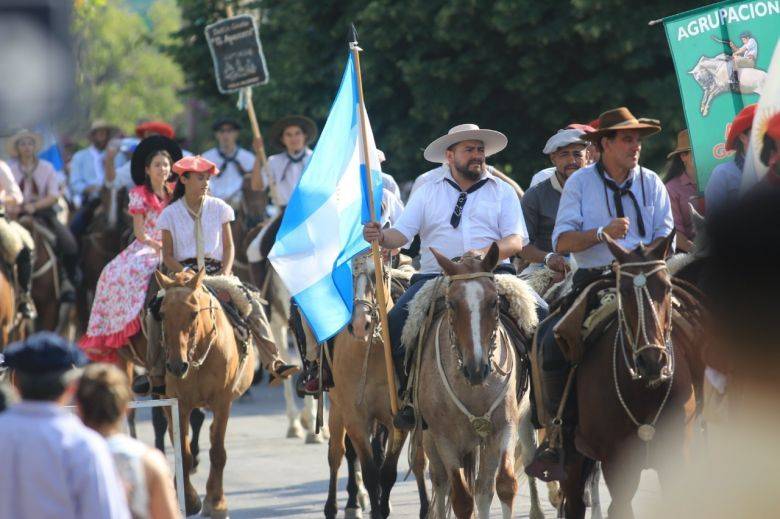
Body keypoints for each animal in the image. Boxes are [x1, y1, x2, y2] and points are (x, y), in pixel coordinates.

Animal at [155, 270, 256, 516]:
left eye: (193, 313)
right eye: (162, 314)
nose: (176, 366)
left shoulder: (222, 402)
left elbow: (217, 452)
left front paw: (216, 502)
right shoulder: (179, 404)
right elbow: (184, 452)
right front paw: (190, 500)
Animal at [326, 255, 430, 519]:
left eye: (379, 274)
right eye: (346, 274)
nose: (360, 324)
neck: (370, 352)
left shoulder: (397, 420)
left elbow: (388, 471)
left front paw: (382, 507)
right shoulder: (355, 418)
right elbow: (371, 472)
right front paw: (372, 506)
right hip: (336, 408)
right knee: (336, 454)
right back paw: (338, 506)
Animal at [418, 245, 528, 519]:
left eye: (494, 302)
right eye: (451, 304)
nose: (476, 369)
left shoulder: (504, 426)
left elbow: (505, 484)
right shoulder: (445, 438)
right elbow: (461, 499)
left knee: (484, 488)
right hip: (431, 440)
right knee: (440, 483)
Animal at [556, 234, 704, 516]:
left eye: (666, 287)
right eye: (623, 291)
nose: (652, 361)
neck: (644, 389)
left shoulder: (677, 458)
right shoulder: (617, 466)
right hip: (572, 457)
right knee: (575, 502)